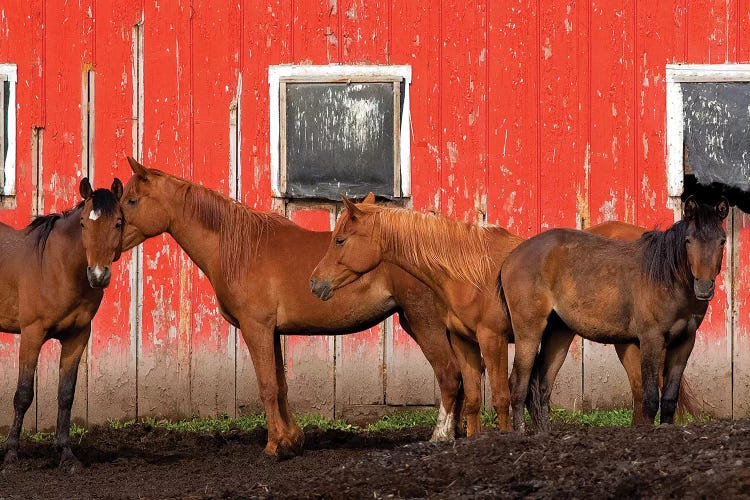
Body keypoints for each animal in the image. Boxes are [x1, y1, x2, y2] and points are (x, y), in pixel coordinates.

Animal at [0, 179, 123, 472]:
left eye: (118, 222)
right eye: (84, 223)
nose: (98, 275)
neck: (58, 267)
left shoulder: (77, 336)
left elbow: (66, 394)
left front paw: (66, 455)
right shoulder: (32, 334)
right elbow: (23, 394)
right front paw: (11, 455)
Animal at [119, 158, 464, 458]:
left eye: (132, 201)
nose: (113, 238)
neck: (241, 249)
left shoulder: (256, 328)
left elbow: (267, 386)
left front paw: (275, 446)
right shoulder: (271, 332)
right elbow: (281, 384)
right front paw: (293, 439)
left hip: (423, 321)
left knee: (449, 374)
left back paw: (441, 437)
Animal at [502, 195, 732, 430]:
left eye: (722, 241)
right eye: (688, 241)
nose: (704, 287)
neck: (667, 280)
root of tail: (513, 256)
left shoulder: (685, 342)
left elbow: (669, 399)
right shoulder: (651, 339)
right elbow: (650, 398)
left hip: (559, 332)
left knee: (541, 386)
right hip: (529, 330)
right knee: (518, 383)